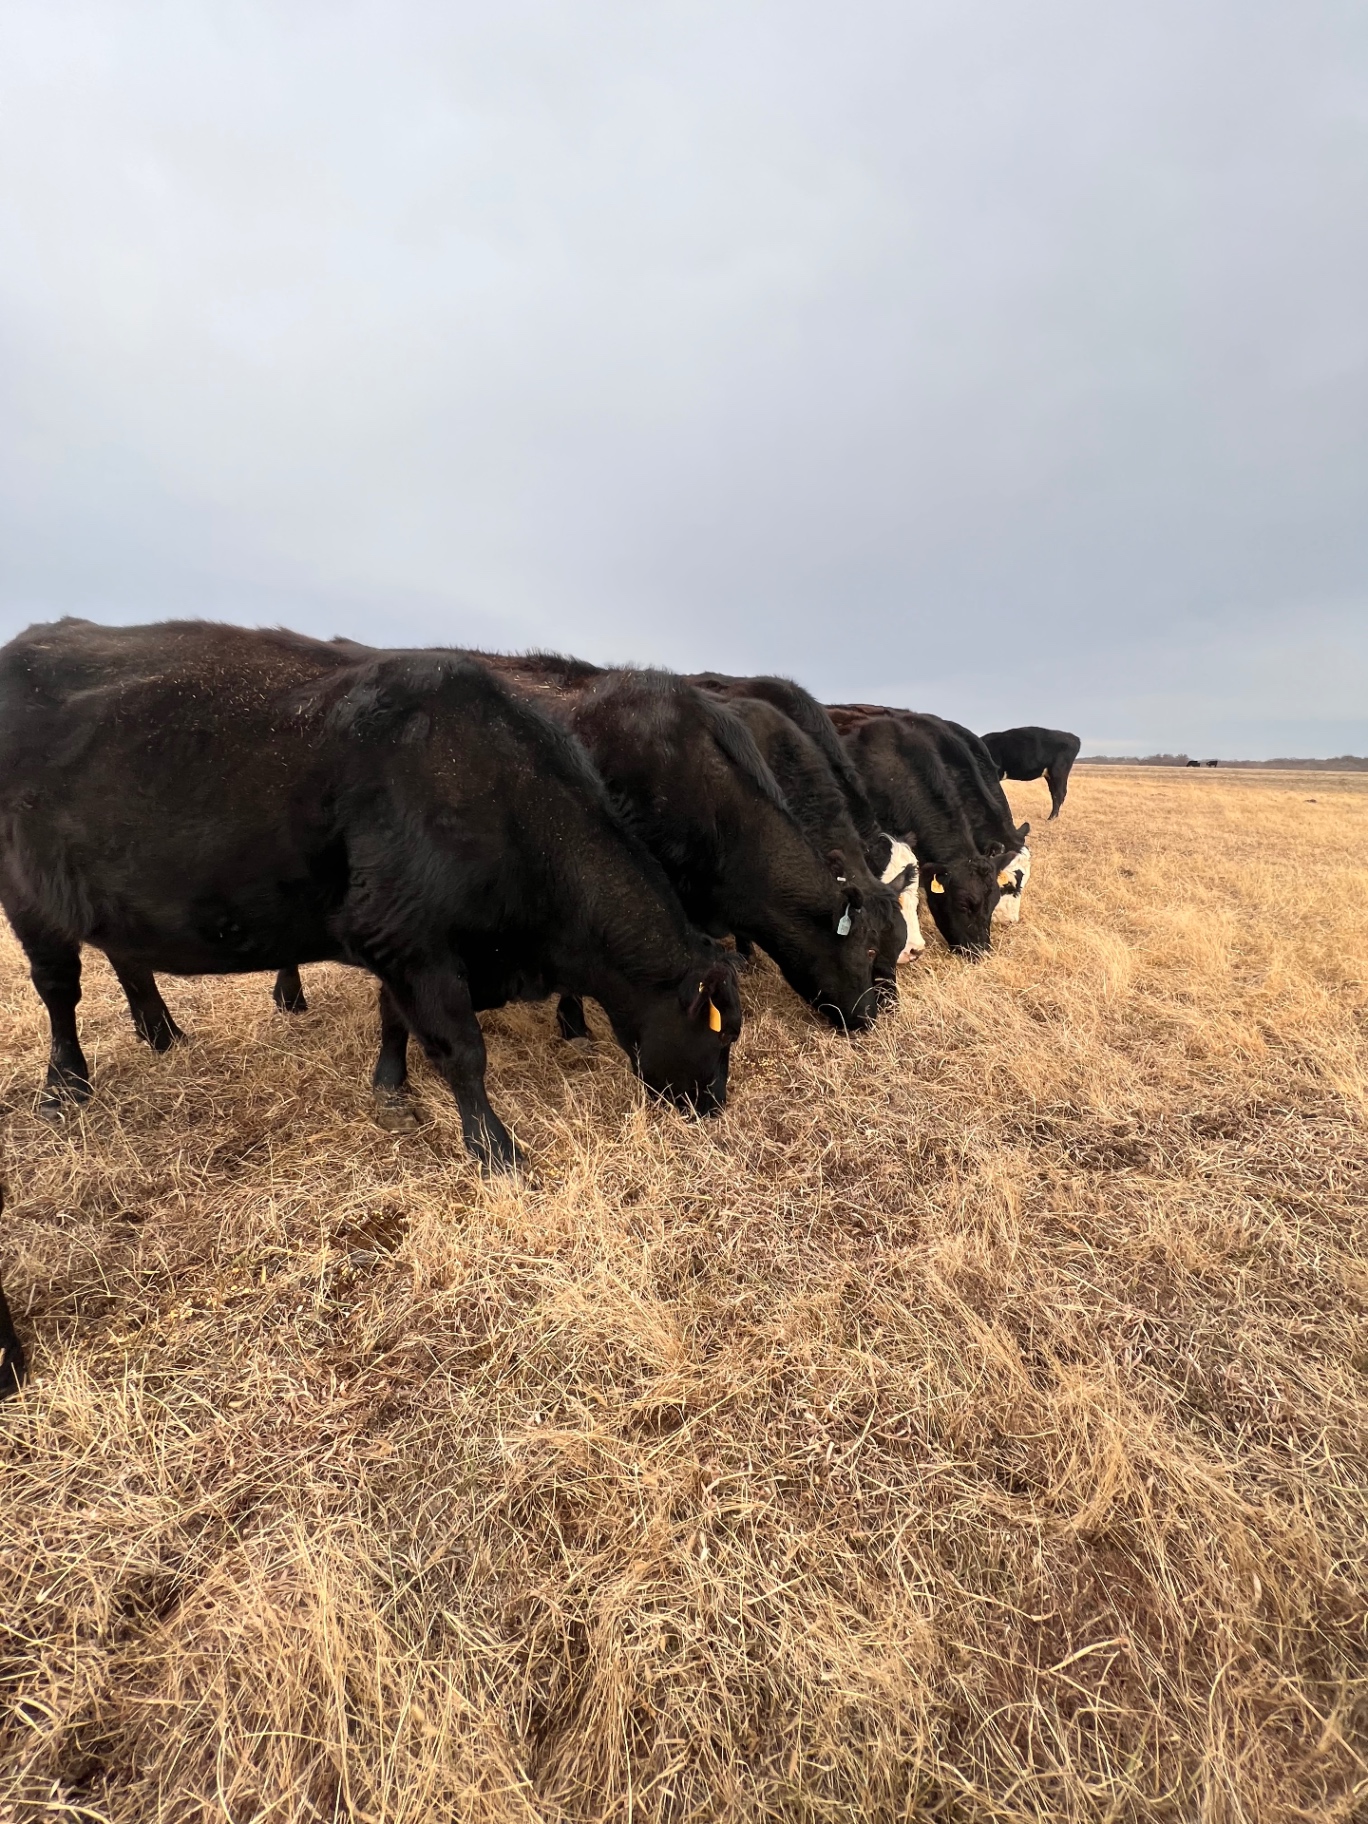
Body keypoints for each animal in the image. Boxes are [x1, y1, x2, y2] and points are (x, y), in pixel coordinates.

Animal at [0, 620, 743, 1170]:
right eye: (724, 1034)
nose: (714, 1108)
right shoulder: (410, 937)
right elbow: (461, 1050)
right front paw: (496, 1150)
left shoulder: (405, 944)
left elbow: (395, 1020)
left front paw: (390, 1087)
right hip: (25, 893)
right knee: (59, 989)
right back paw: (65, 1085)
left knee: (124, 959)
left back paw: (161, 1034)